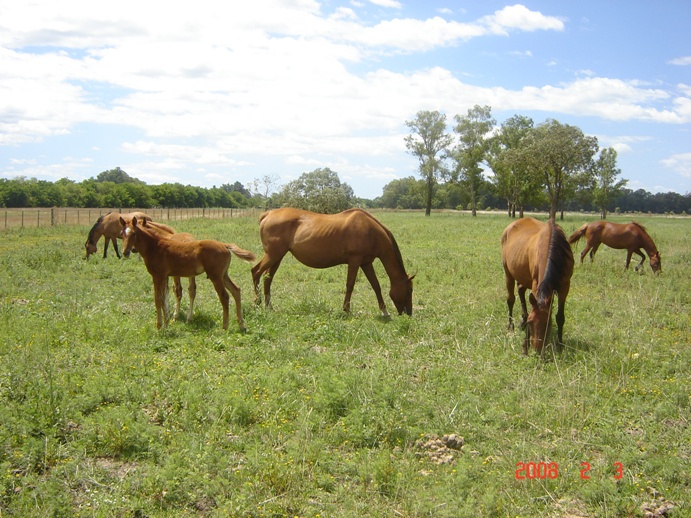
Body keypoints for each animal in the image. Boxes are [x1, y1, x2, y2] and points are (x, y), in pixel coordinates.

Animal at [121, 216, 256, 332]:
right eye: (122, 234)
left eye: (134, 233)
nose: (126, 252)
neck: (155, 246)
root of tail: (225, 245)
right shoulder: (164, 276)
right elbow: (165, 298)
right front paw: (167, 323)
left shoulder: (157, 276)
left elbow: (158, 299)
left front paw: (159, 326)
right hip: (224, 275)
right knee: (236, 290)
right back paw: (241, 325)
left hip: (216, 277)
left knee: (224, 296)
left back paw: (225, 326)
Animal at [251, 208, 414, 316]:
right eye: (410, 290)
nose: (409, 312)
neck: (370, 232)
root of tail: (268, 214)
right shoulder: (355, 261)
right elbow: (350, 285)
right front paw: (347, 309)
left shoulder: (366, 263)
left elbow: (376, 285)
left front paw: (384, 311)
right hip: (273, 255)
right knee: (256, 272)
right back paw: (256, 303)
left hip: (277, 257)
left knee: (267, 278)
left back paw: (269, 306)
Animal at [500, 217, 576, 356]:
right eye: (531, 322)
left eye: (548, 324)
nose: (537, 350)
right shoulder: (536, 283)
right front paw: (525, 347)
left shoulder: (565, 286)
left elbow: (560, 317)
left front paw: (560, 344)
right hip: (508, 272)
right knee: (510, 299)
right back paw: (511, 326)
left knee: (520, 290)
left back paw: (522, 320)